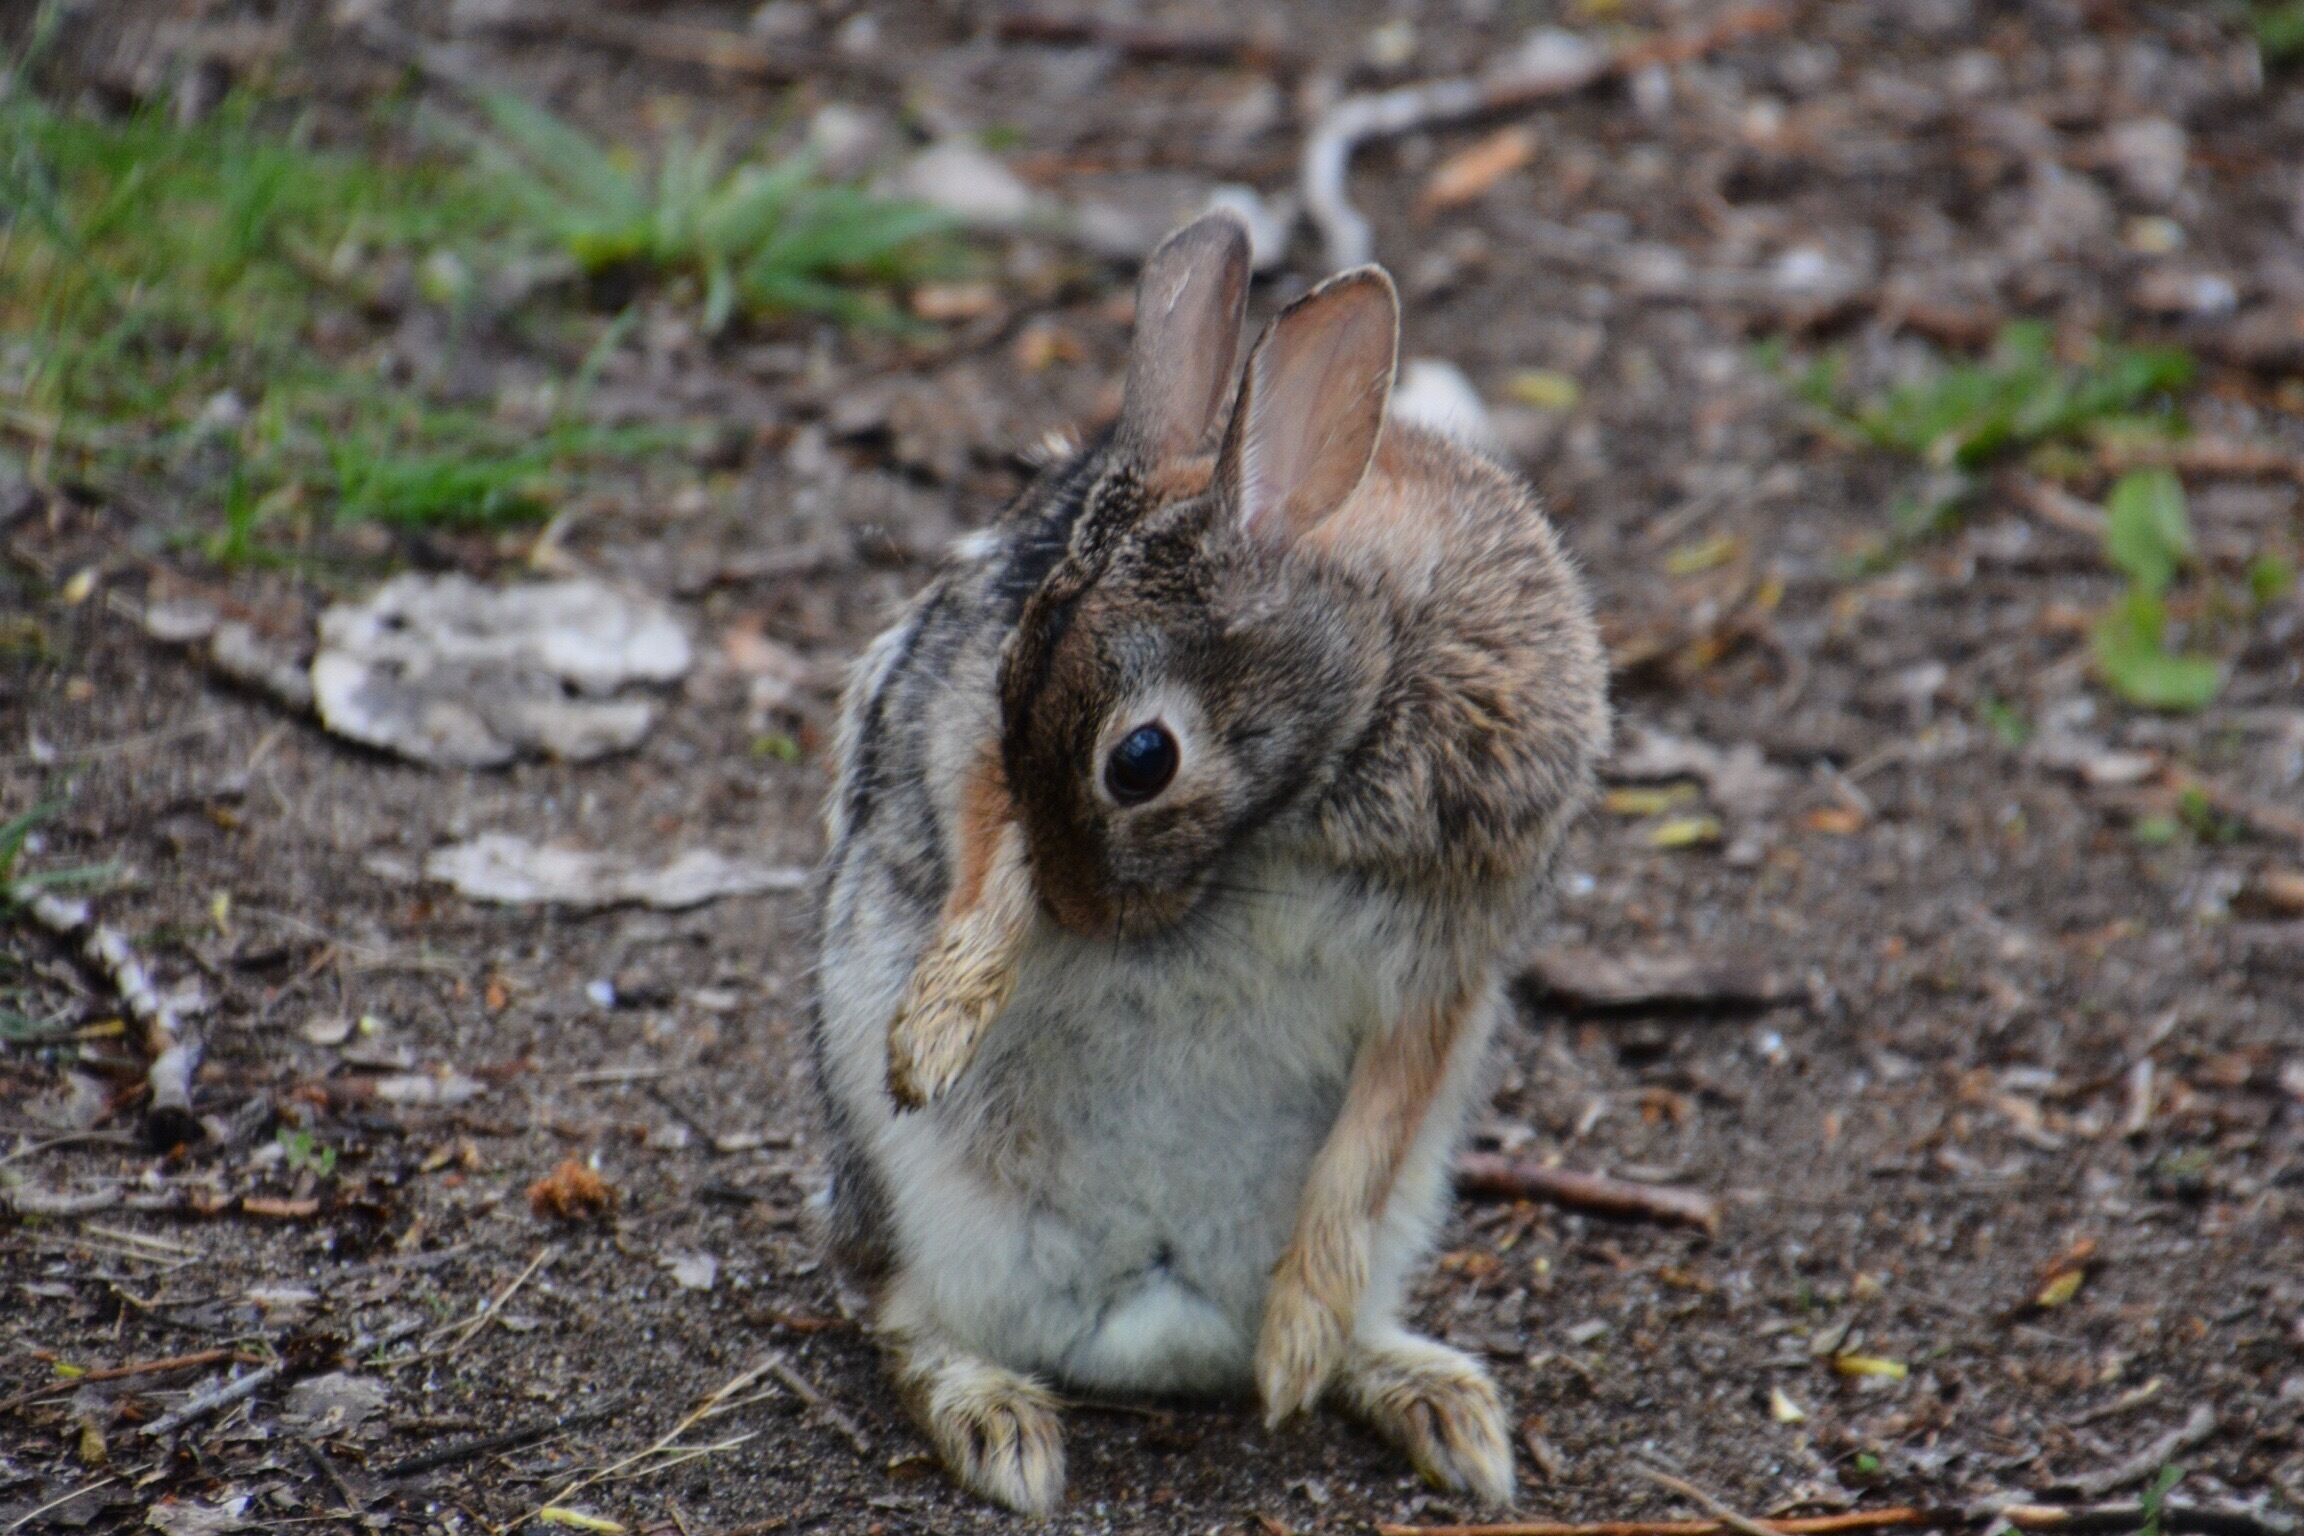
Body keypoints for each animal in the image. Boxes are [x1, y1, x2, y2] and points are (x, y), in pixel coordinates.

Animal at [810, 210, 1609, 1516]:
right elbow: (981, 828)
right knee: (895, 1314)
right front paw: (936, 1029)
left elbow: (1373, 1131)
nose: (1082, 915)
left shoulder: (1451, 961)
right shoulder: (966, 715)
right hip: (895, 1181)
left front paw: (1301, 1337)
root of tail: (1150, 1322)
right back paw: (999, 1425)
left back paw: (1400, 1388)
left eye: (1143, 761)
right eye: (1013, 679)